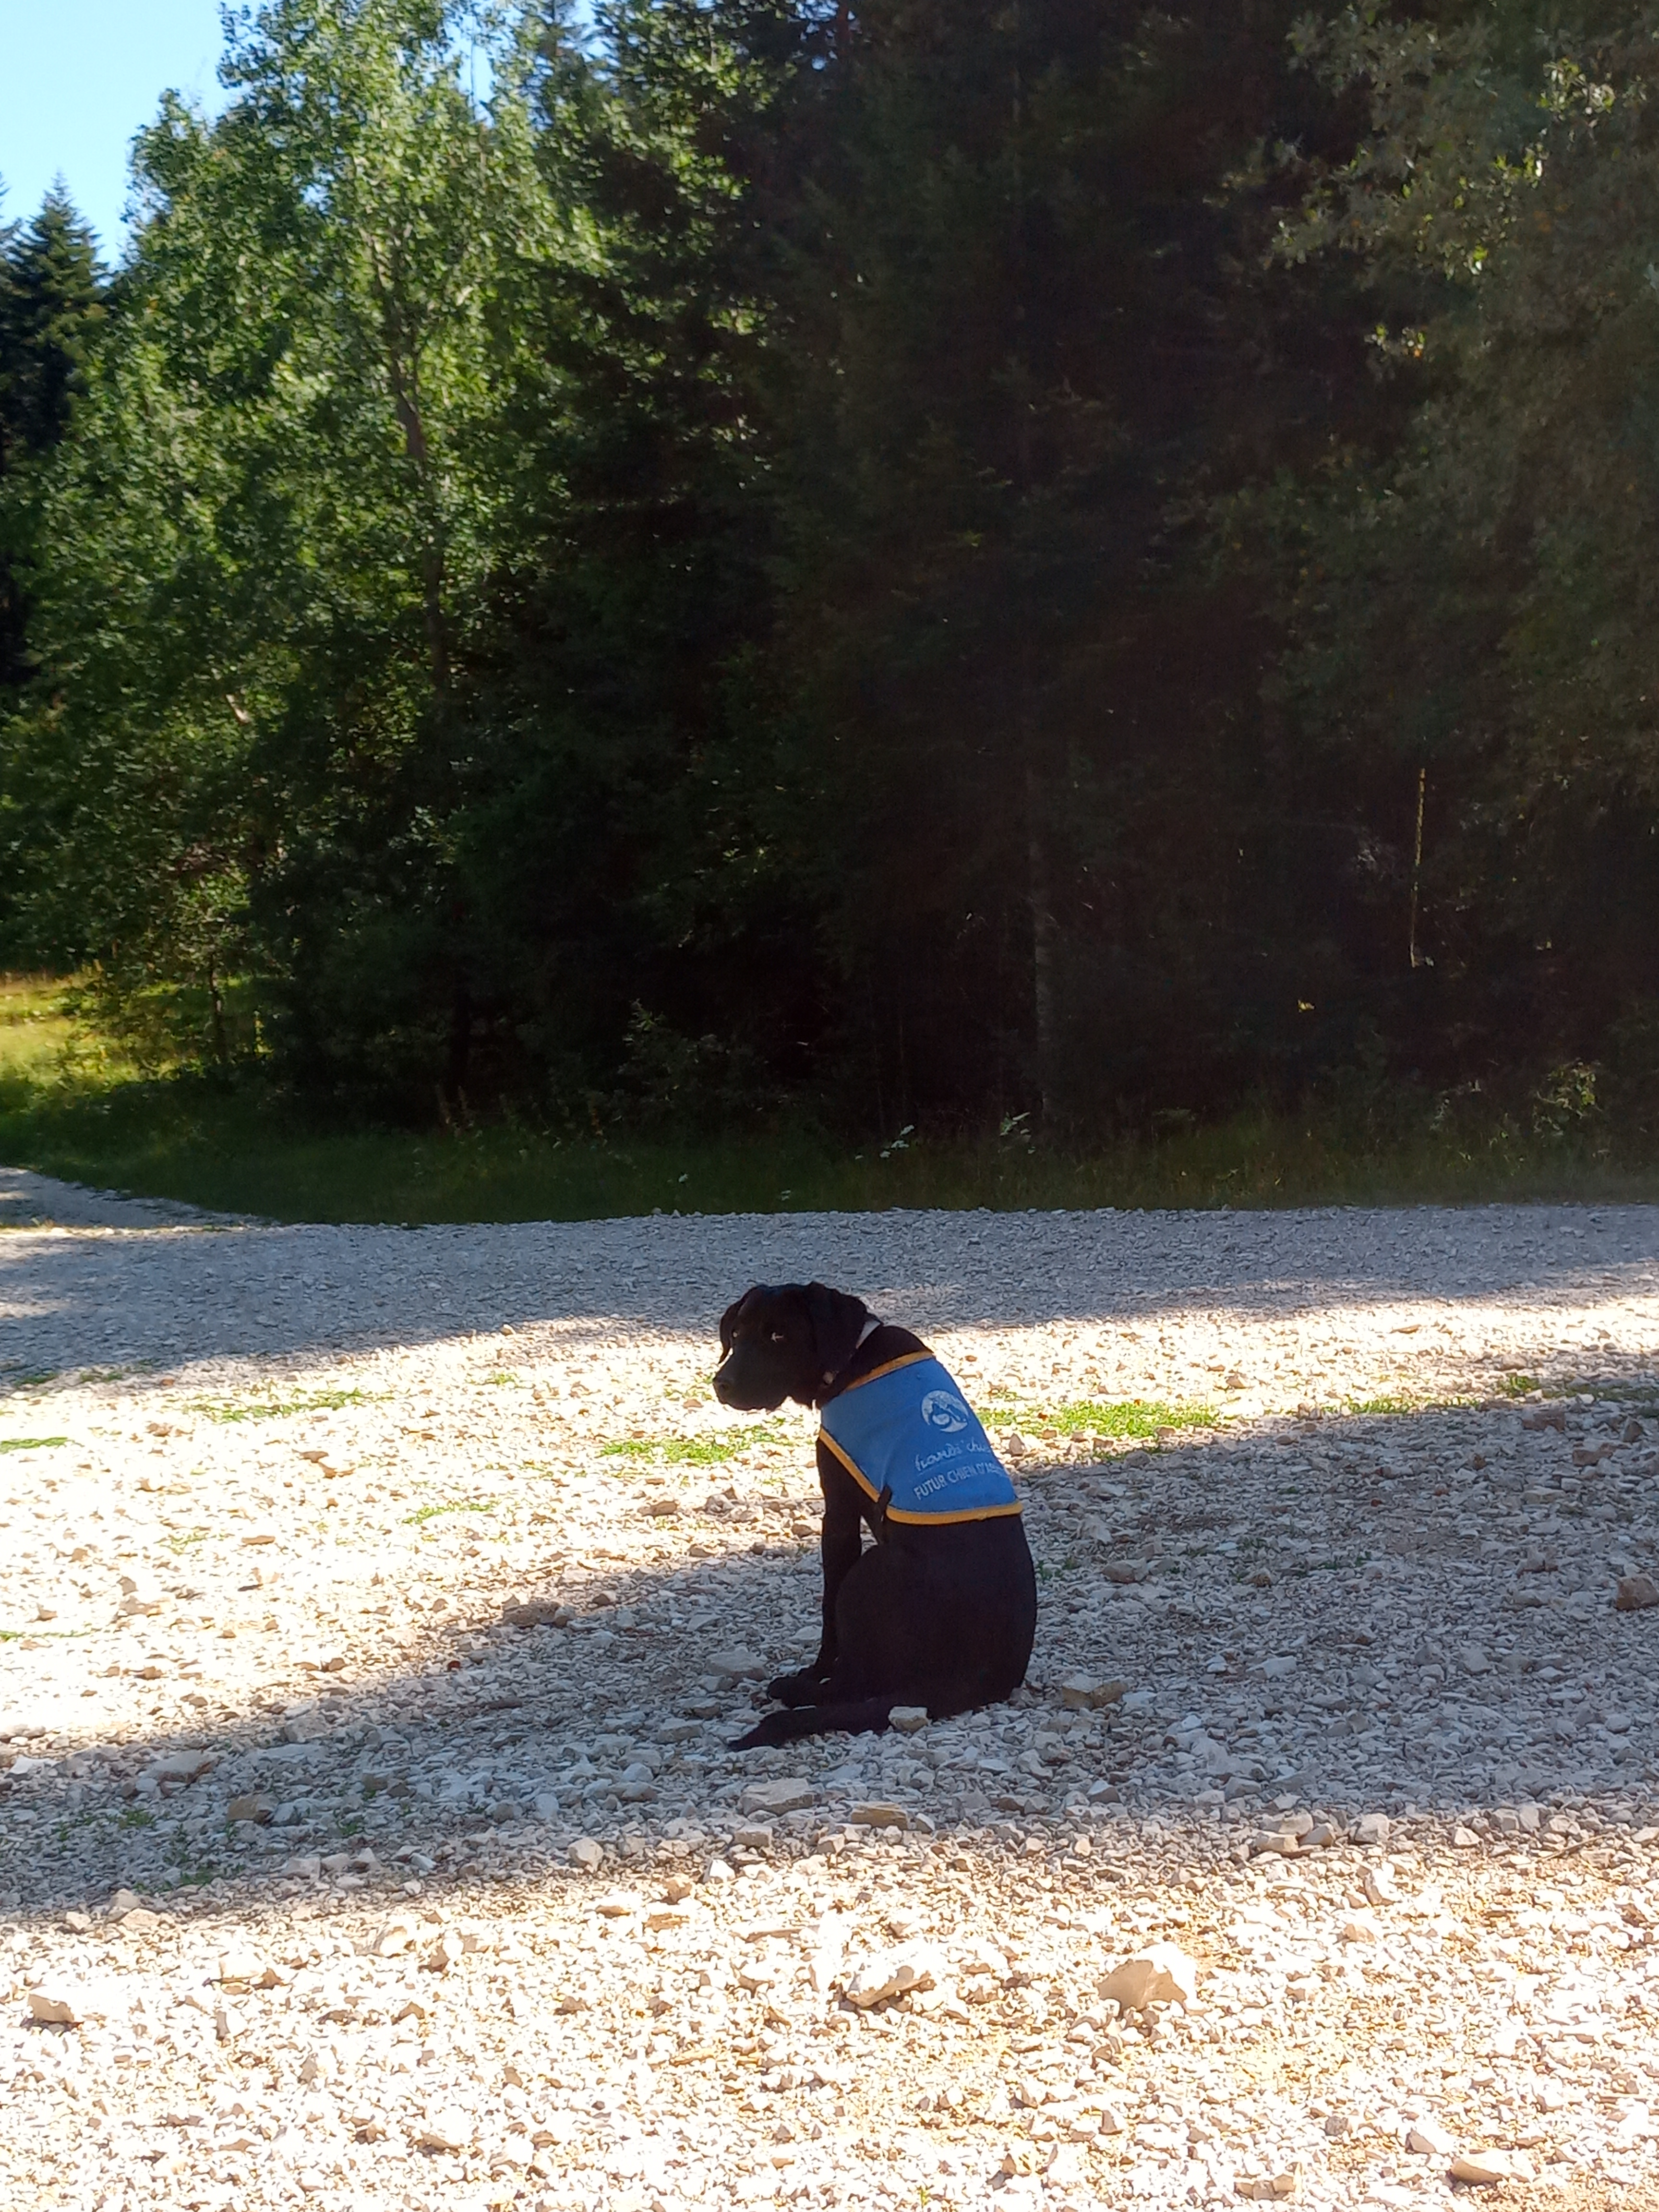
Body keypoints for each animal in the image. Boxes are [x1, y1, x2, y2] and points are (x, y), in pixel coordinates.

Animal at [713, 1281, 1037, 1749]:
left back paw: (798, 1690)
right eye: (736, 1334)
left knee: (857, 1683)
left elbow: (827, 1613)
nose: (721, 1384)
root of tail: (990, 1677)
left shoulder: (839, 1515)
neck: (852, 1356)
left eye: (778, 1336)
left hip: (871, 1570)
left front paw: (816, 1670)